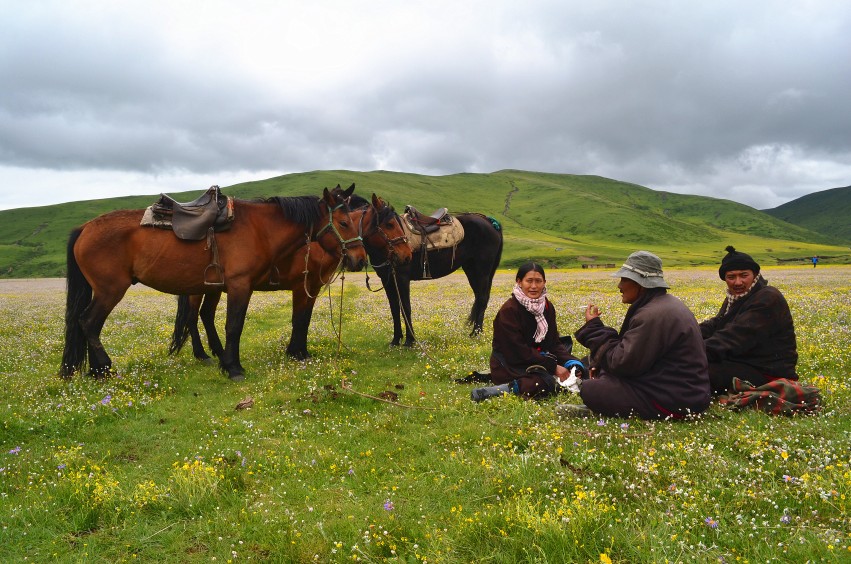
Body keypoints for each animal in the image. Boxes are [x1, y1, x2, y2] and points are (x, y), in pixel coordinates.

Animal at [59, 187, 366, 382]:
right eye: (343, 222)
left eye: (356, 219)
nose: (360, 259)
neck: (260, 229)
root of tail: (85, 228)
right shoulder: (241, 286)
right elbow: (234, 326)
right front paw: (233, 367)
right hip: (110, 290)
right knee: (89, 322)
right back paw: (104, 369)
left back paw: (95, 371)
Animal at [171, 193, 412, 362]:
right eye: (390, 224)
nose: (407, 255)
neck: (317, 243)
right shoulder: (300, 286)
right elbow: (298, 319)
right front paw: (295, 352)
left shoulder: (313, 287)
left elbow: (305, 319)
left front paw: (301, 351)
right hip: (199, 288)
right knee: (192, 317)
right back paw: (202, 355)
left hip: (214, 288)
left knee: (205, 315)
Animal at [370, 210, 502, 344]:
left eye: (390, 225)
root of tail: (488, 221)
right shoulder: (387, 280)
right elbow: (394, 309)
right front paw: (396, 340)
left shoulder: (401, 278)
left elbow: (405, 308)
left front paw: (409, 341)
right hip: (471, 269)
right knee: (479, 298)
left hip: (482, 271)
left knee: (482, 299)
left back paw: (476, 333)